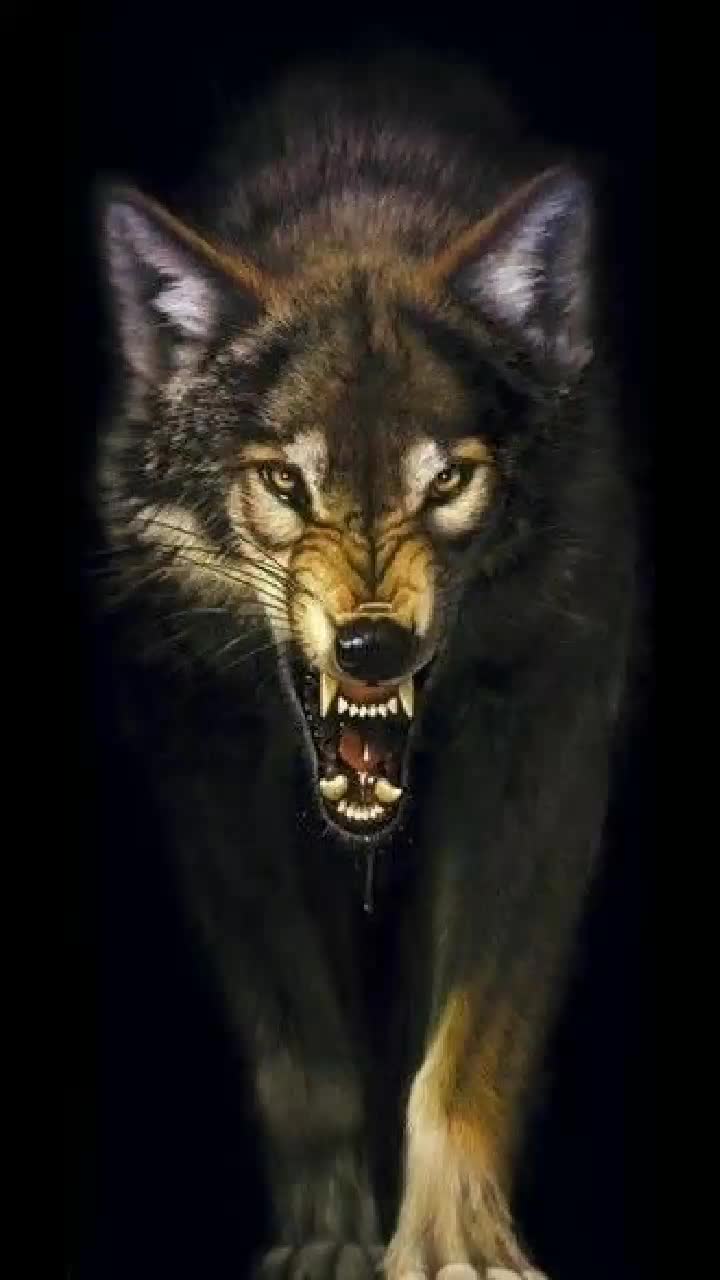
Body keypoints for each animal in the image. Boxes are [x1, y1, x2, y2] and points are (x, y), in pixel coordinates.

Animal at [93, 50, 637, 1279]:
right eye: (285, 483)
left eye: (450, 481)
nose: (372, 645)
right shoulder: (201, 766)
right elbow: (304, 1056)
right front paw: (329, 1242)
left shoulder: (545, 749)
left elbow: (470, 1046)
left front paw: (453, 1246)